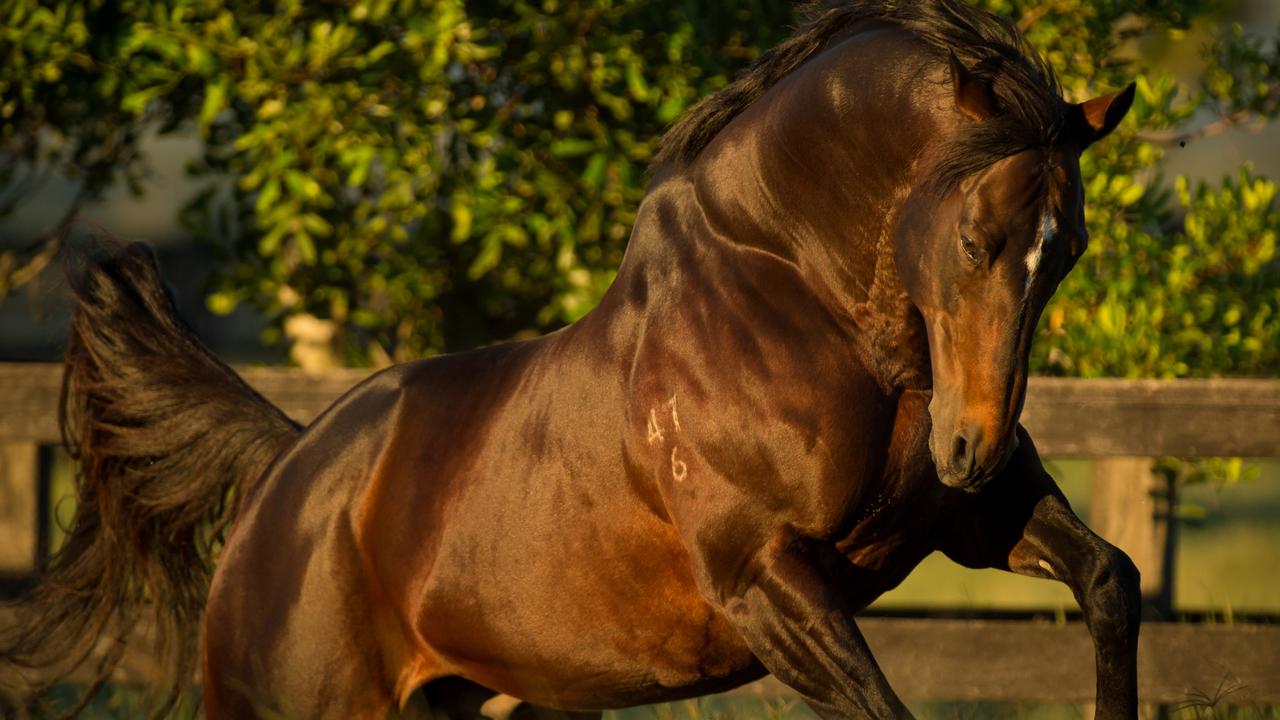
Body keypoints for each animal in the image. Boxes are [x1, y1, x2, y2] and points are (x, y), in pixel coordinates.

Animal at [0, 0, 1141, 712]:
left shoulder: (964, 527)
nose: (969, 448)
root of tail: (282, 479)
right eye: (974, 240)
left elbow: (1112, 581)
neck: (802, 310)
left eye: (1068, 249)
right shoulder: (765, 583)